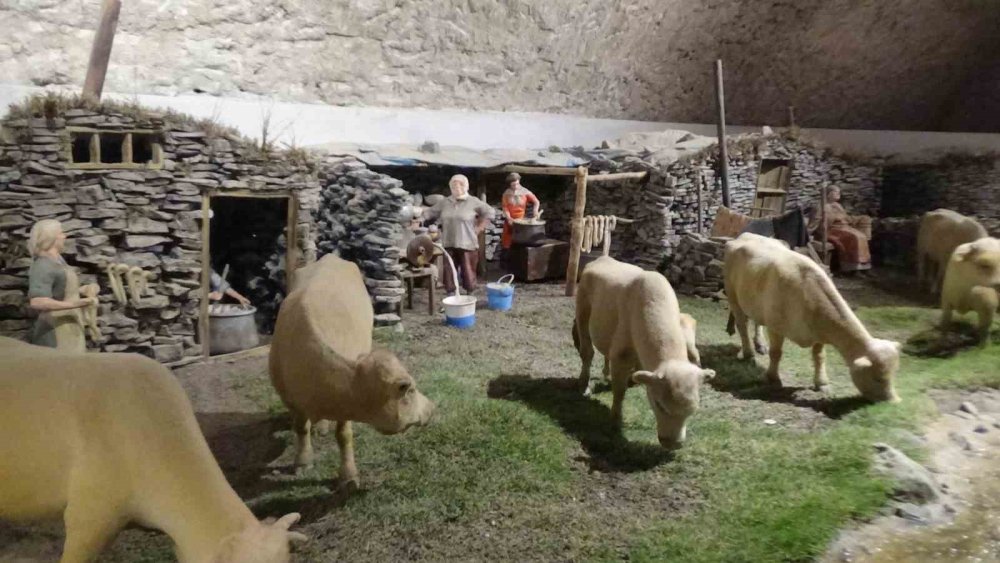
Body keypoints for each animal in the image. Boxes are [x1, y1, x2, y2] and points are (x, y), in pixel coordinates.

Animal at [270, 253, 434, 492]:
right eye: (409, 390)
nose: (433, 407)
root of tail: (331, 257)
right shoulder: (290, 400)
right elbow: (300, 427)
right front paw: (302, 462)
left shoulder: (345, 405)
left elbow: (344, 435)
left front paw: (348, 477)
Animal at [576, 258, 716, 452]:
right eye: (659, 404)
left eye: (693, 409)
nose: (673, 444)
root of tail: (602, 259)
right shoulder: (621, 354)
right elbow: (619, 391)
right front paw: (615, 422)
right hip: (582, 310)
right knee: (587, 352)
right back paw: (584, 384)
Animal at [724, 231, 904, 404]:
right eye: (878, 378)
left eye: (893, 375)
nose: (894, 402)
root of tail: (744, 235)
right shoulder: (775, 327)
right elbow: (776, 353)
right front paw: (773, 378)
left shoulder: (818, 334)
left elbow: (819, 357)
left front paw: (821, 383)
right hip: (732, 294)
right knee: (741, 324)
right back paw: (749, 353)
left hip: (756, 302)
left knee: (757, 321)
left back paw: (760, 344)